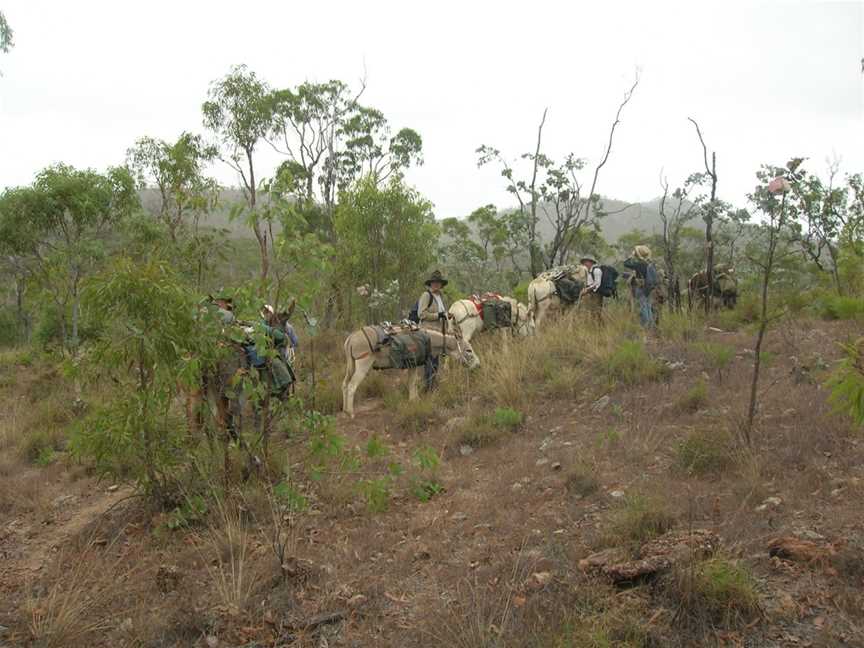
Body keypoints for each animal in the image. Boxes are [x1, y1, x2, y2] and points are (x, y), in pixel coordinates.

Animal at [342, 326, 480, 418]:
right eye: (469, 350)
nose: (478, 365)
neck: (428, 340)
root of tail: (350, 338)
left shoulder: (412, 366)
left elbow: (412, 383)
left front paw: (414, 399)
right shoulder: (413, 364)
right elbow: (413, 383)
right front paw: (414, 400)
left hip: (351, 365)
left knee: (344, 385)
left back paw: (345, 410)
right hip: (363, 364)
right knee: (352, 386)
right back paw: (351, 413)